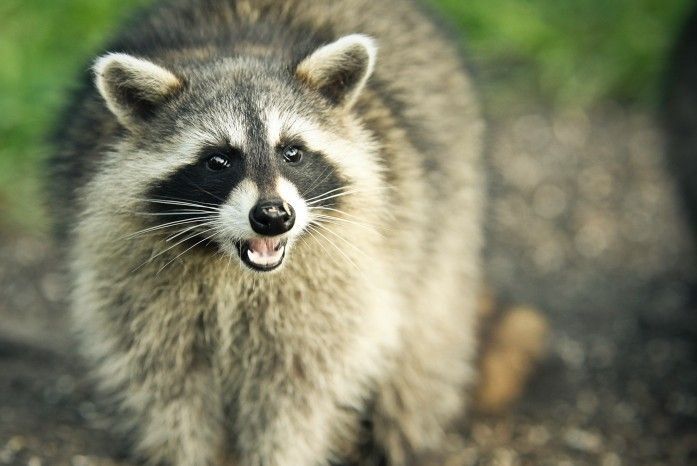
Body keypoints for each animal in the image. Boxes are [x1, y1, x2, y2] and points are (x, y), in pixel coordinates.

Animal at [49, 0, 484, 464]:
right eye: (218, 161)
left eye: (291, 153)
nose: (274, 217)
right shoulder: (134, 280)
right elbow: (168, 386)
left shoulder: (336, 286)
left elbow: (294, 396)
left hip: (443, 215)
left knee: (427, 333)